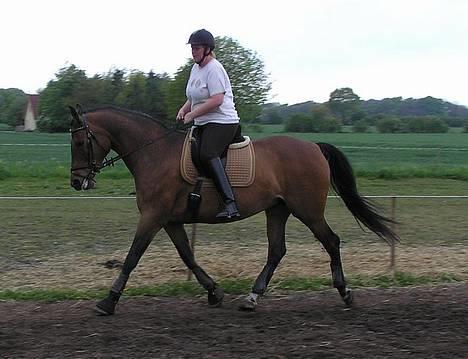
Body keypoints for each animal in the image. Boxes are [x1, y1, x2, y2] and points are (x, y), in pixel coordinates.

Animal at [69, 104, 398, 316]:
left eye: (80, 141)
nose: (76, 182)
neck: (154, 153)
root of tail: (314, 147)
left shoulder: (152, 217)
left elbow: (132, 257)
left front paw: (109, 301)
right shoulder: (170, 221)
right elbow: (187, 256)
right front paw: (214, 291)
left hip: (308, 211)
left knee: (331, 241)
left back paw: (345, 293)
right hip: (278, 210)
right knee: (276, 251)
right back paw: (252, 298)